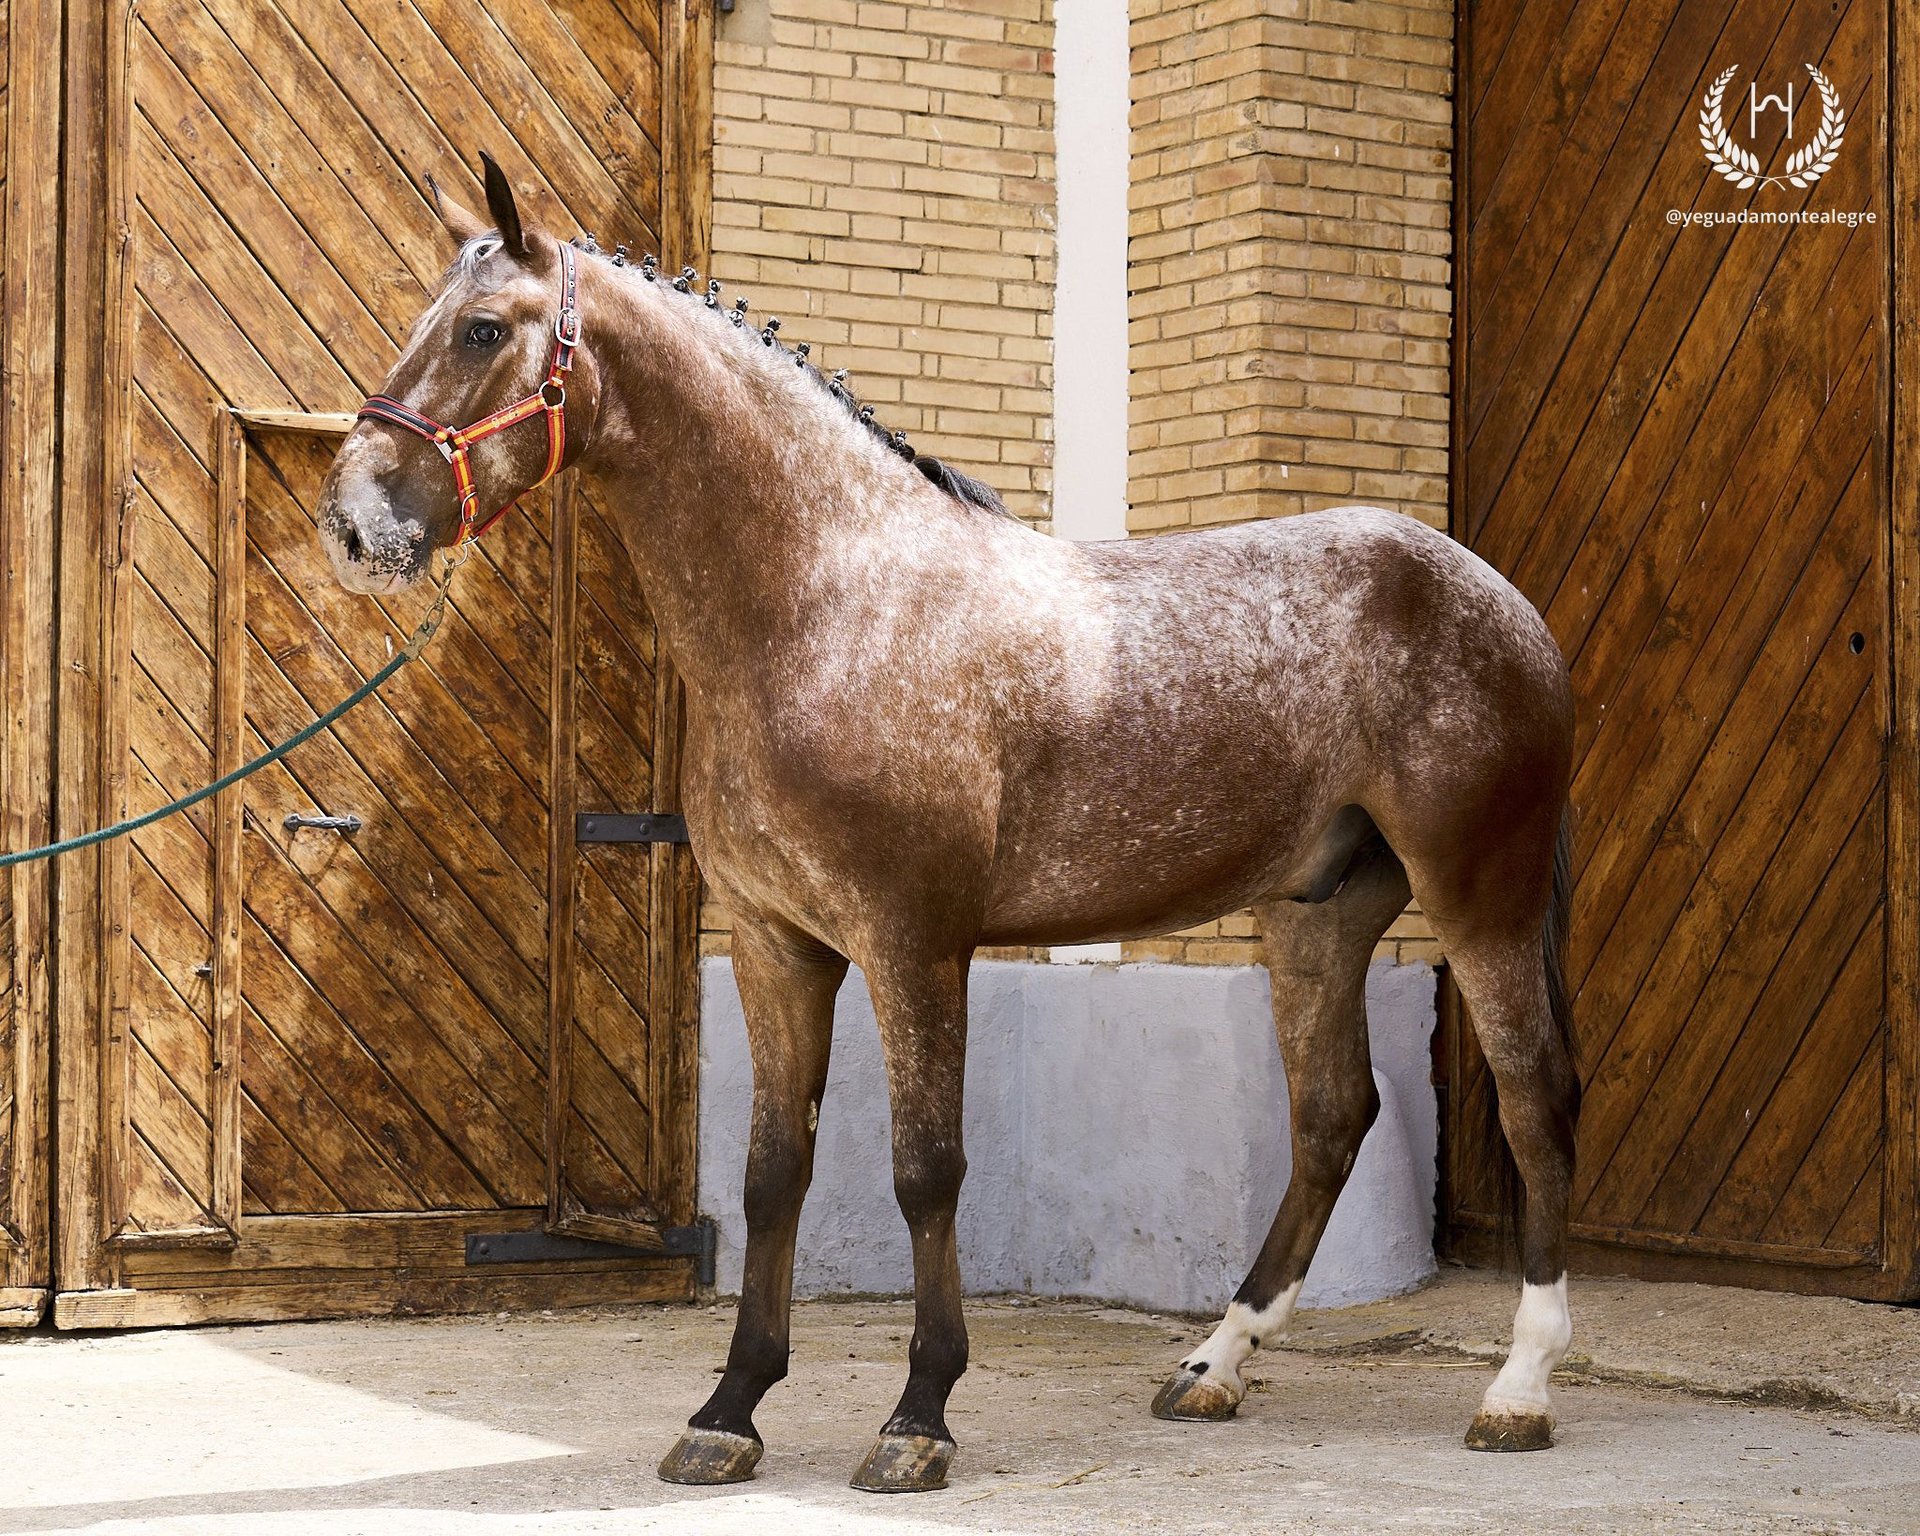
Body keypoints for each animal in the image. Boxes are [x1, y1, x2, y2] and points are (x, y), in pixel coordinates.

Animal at [314, 155, 1574, 1489]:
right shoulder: (776, 945)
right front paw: (729, 1410)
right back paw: (1214, 1365)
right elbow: (773, 1175)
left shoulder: (914, 941)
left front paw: (918, 1415)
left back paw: (1518, 1387)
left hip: (1479, 896)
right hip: (1316, 915)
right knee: (1332, 1116)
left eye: (481, 329)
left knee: (1533, 1098)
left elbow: (927, 1171)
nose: (352, 524)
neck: (827, 600)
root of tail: (1502, 601)